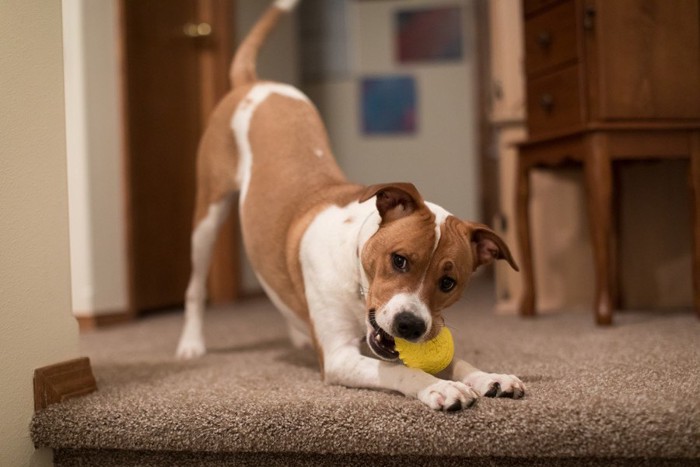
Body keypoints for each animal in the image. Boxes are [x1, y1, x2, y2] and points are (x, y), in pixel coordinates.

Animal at [176, 0, 524, 412]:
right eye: (399, 260)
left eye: (448, 282)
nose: (410, 326)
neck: (355, 270)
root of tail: (254, 83)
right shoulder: (340, 356)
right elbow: (398, 370)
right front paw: (439, 387)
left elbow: (458, 359)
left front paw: (489, 376)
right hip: (207, 216)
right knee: (195, 287)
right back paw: (191, 344)